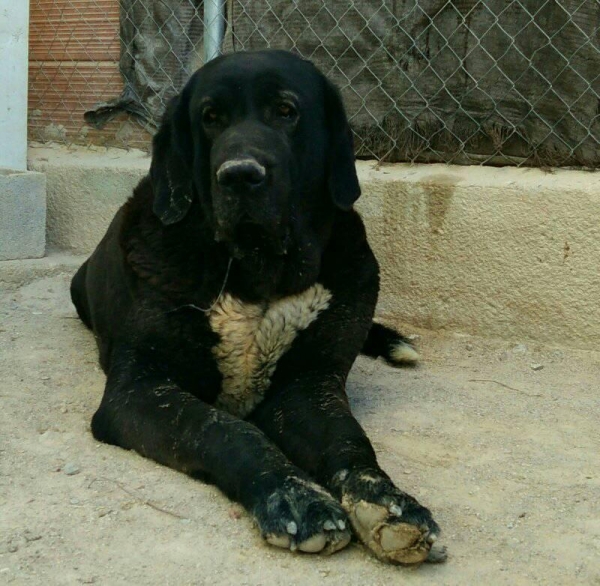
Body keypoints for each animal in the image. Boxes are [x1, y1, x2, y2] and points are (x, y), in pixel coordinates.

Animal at [70, 49, 446, 560]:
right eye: (210, 118)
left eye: (286, 111)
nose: (240, 175)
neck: (256, 273)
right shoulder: (139, 388)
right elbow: (224, 430)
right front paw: (292, 496)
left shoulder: (308, 384)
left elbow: (349, 440)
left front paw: (388, 500)